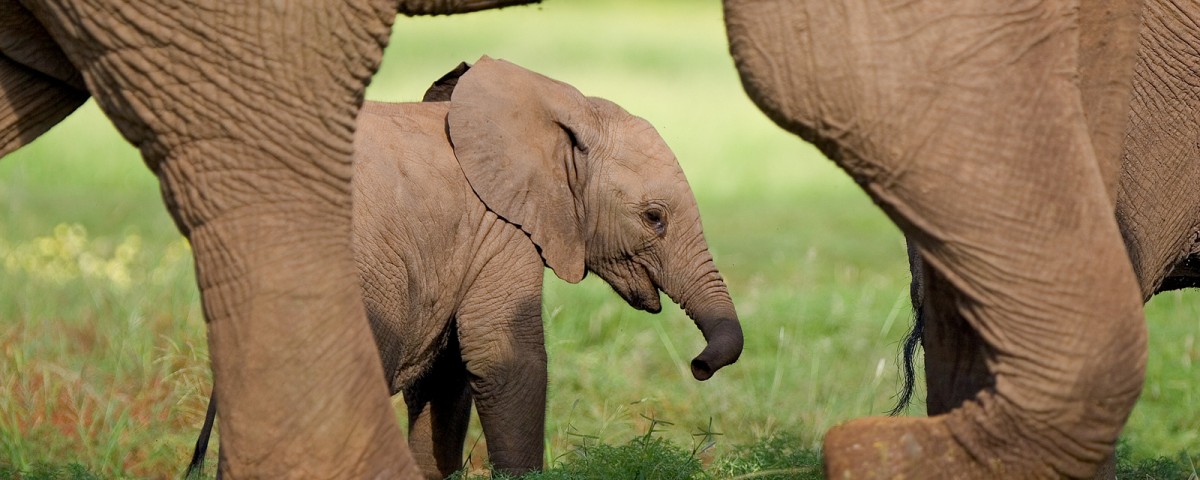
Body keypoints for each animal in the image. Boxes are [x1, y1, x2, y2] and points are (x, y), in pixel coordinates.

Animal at [186, 57, 739, 480]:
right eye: (654, 218)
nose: (698, 365)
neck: (560, 101)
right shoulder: (500, 228)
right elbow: (506, 360)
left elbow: (445, 379)